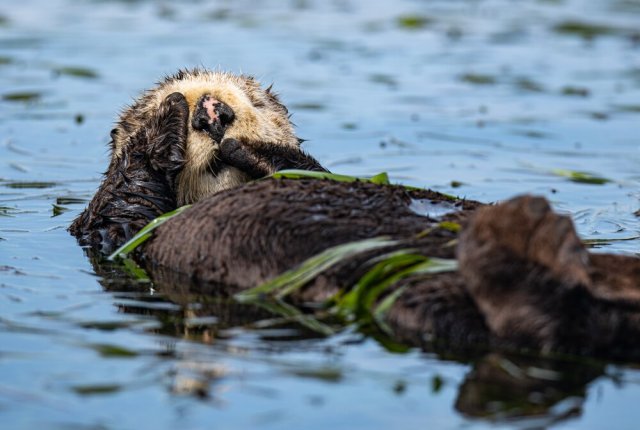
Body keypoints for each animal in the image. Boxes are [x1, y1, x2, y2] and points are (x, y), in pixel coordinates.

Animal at [71, 69, 640, 361]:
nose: (212, 109)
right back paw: (530, 233)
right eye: (156, 101)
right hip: (418, 299)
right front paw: (162, 124)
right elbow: (122, 202)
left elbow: (309, 170)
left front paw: (255, 149)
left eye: (255, 99)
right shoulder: (109, 235)